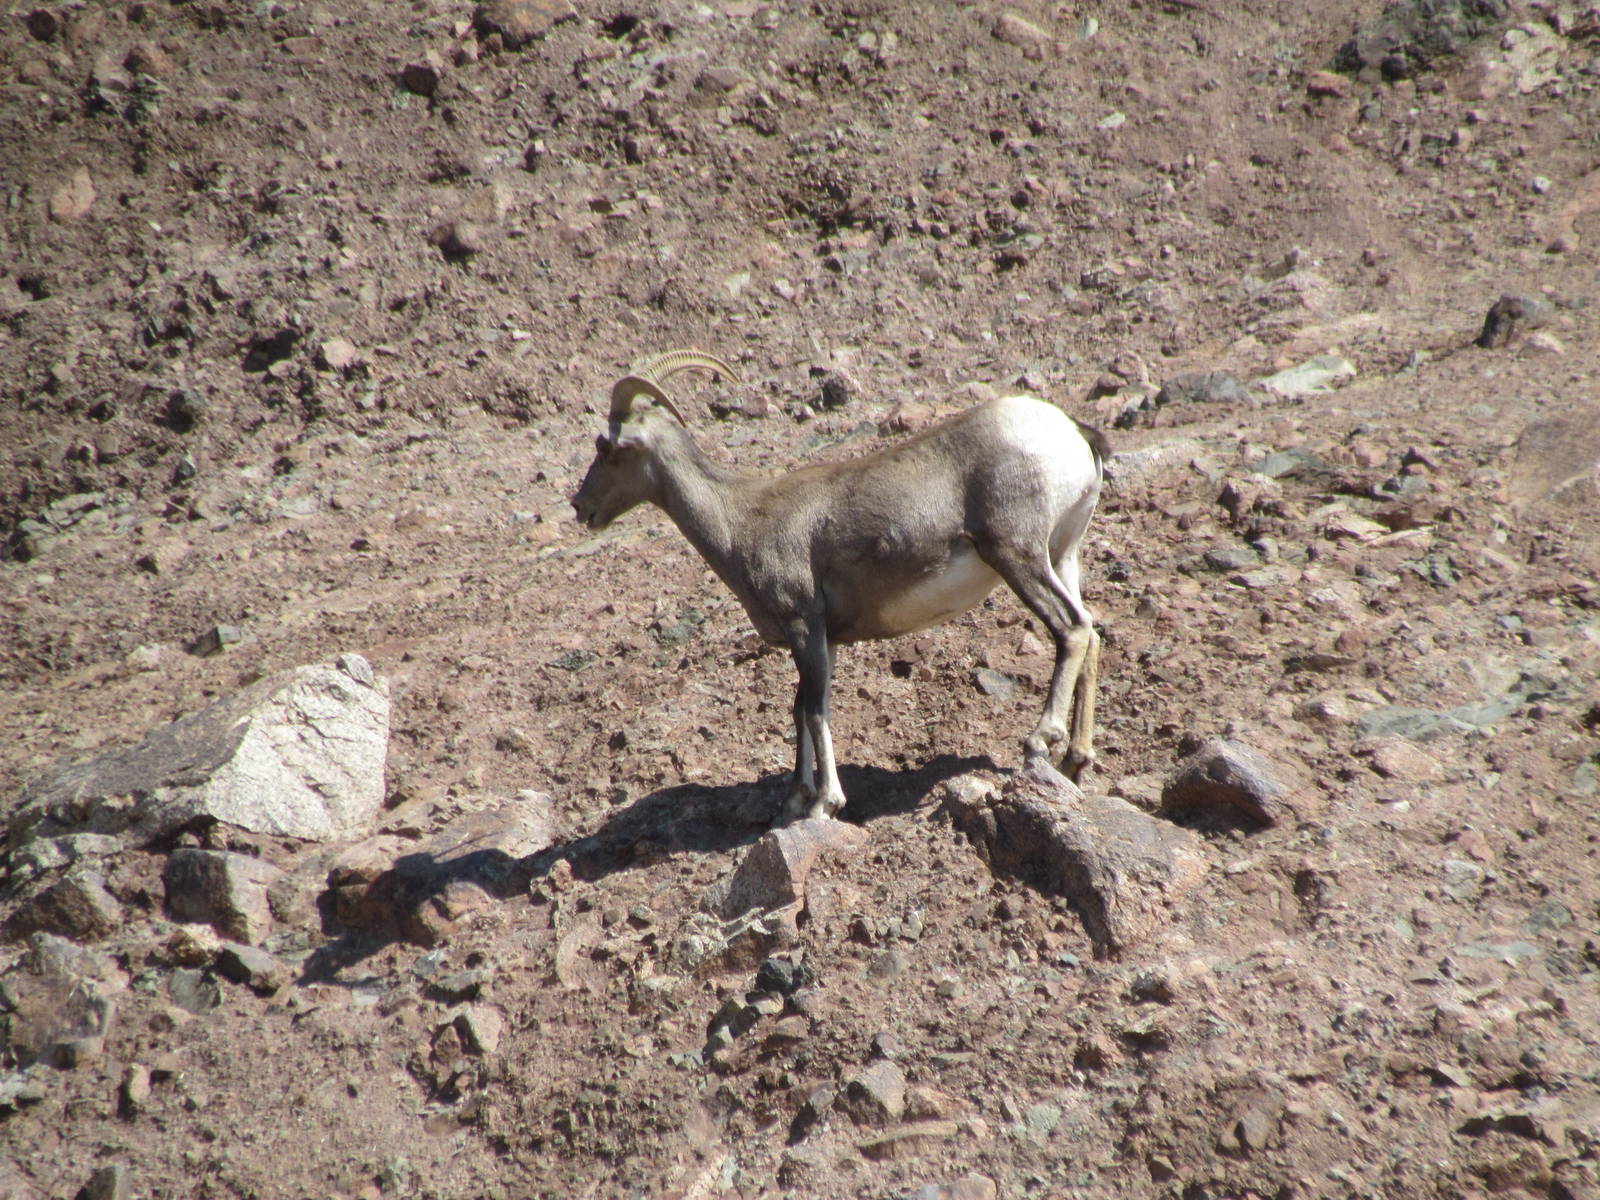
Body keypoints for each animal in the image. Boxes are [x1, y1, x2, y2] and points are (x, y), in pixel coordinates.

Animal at [571, 349, 1107, 822]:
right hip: (1062, 556)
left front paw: (825, 803)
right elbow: (804, 707)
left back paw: (1041, 739)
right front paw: (793, 802)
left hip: (1017, 554)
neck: (740, 517)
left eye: (607, 447)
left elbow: (812, 710)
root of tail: (1070, 432)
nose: (581, 508)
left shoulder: (803, 624)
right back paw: (1075, 761)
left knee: (1071, 628)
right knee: (1091, 632)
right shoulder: (821, 638)